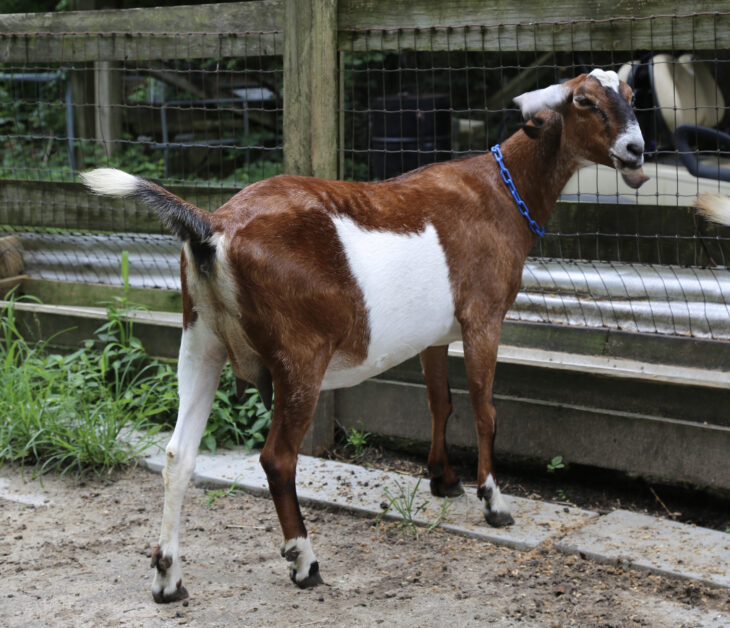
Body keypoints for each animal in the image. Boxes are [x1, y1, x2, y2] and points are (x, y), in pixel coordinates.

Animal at [81, 68, 646, 601]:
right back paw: (305, 562)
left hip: (200, 340)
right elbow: (485, 410)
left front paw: (443, 480)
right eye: (584, 101)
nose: (636, 149)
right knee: (277, 458)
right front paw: (495, 502)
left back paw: (168, 579)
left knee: (178, 455)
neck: (501, 192)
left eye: (632, 97)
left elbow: (440, 402)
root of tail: (212, 226)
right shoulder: (483, 318)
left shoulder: (434, 334)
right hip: (300, 356)